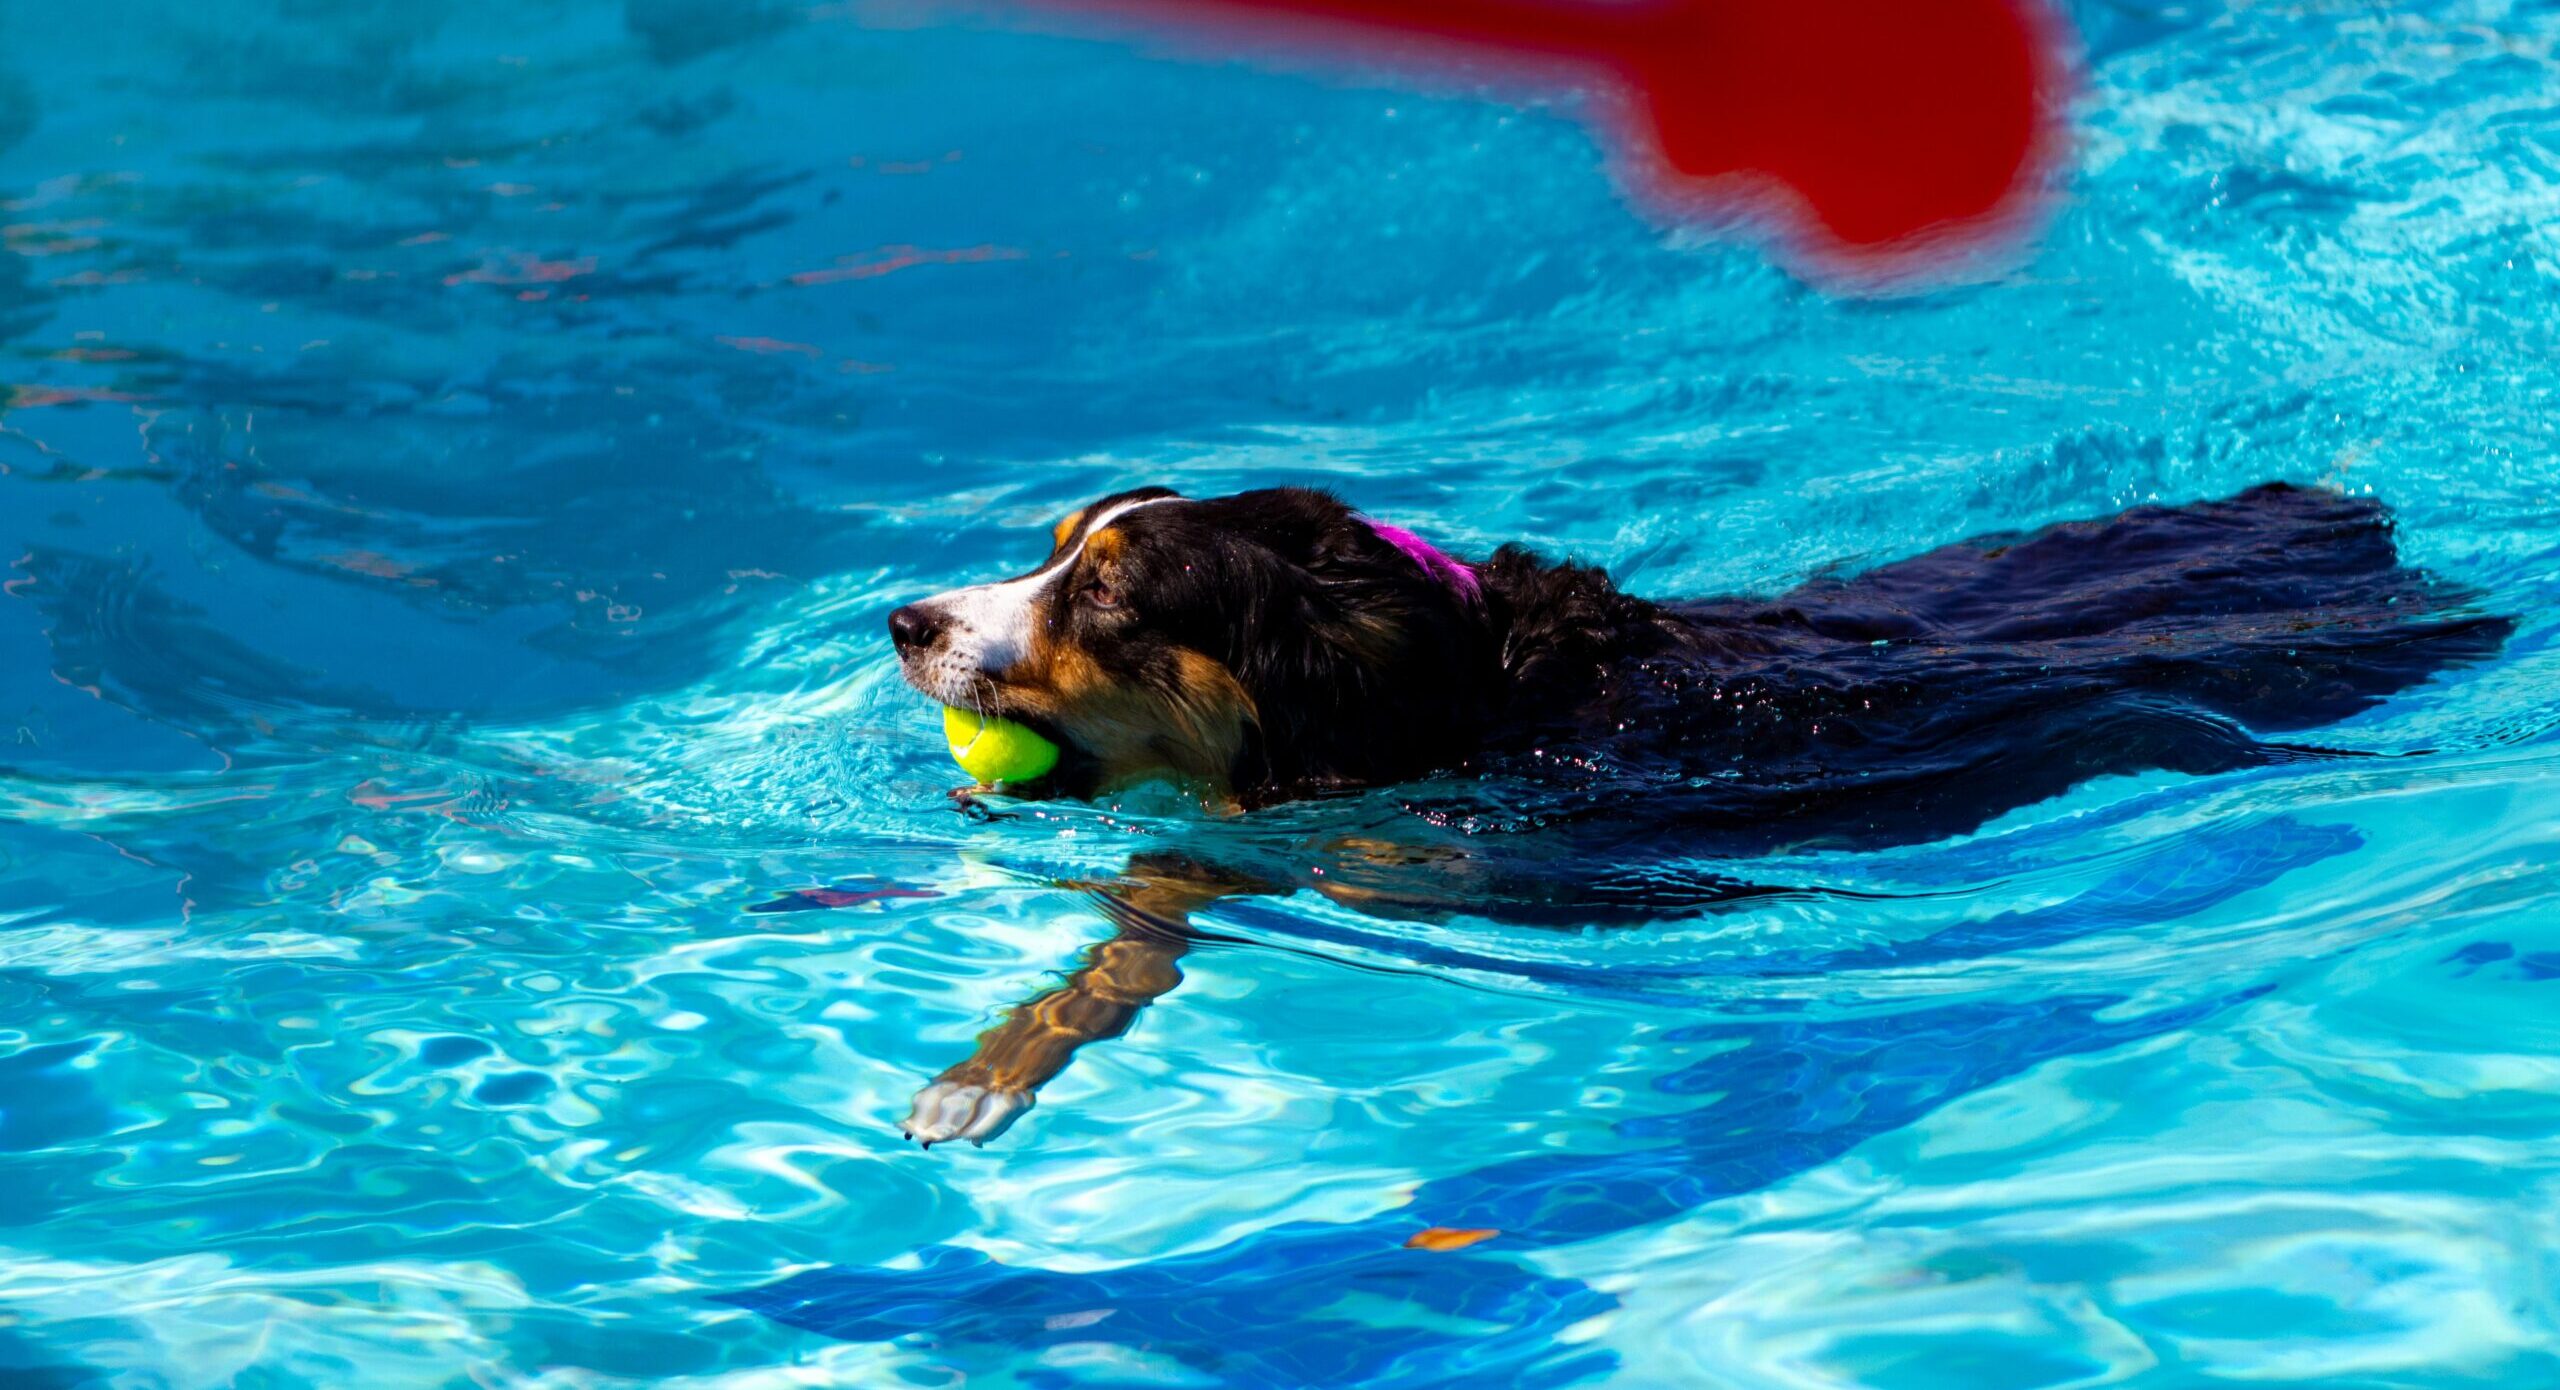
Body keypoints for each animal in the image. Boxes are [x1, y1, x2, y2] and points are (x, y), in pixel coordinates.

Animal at [886, 482, 2508, 1145]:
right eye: (1048, 552)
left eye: (1105, 595)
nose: (904, 621)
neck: (1451, 681)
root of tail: (2336, 515)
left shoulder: (1411, 856)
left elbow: (1166, 894)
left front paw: (985, 1070)